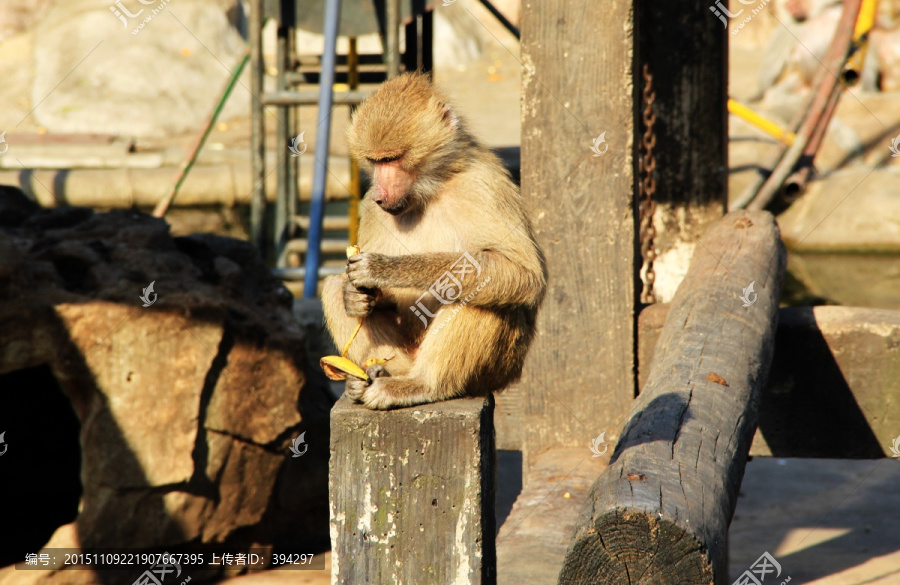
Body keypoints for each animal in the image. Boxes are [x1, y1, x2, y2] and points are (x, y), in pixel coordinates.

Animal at [324, 73, 548, 408]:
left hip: (498, 369)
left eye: (393, 158)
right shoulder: (370, 210)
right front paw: (355, 297)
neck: (430, 190)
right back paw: (370, 379)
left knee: (476, 290)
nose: (379, 195)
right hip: (402, 354)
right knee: (330, 286)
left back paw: (421, 385)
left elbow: (522, 274)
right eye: (375, 162)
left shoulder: (482, 186)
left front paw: (386, 269)